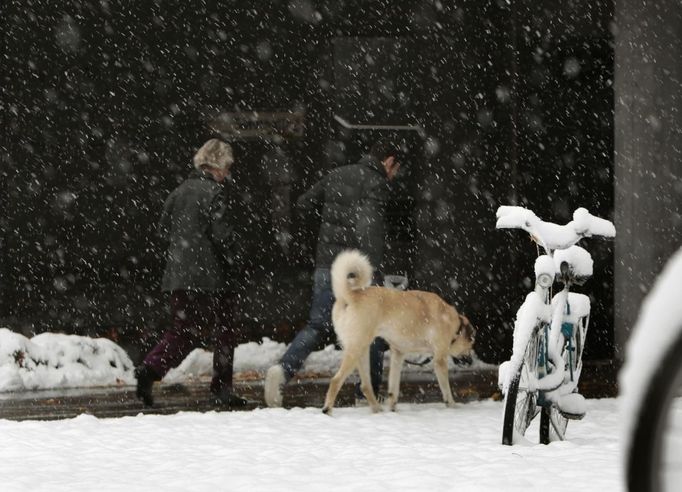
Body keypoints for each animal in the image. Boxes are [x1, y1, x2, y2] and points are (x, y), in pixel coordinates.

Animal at [322, 250, 476, 416]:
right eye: (471, 342)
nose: (471, 361)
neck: (455, 325)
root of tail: (349, 295)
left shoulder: (398, 354)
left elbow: (393, 388)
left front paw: (393, 408)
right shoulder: (440, 359)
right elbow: (446, 389)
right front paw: (452, 405)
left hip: (362, 351)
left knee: (365, 386)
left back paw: (377, 410)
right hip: (356, 348)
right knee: (336, 380)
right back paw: (327, 410)